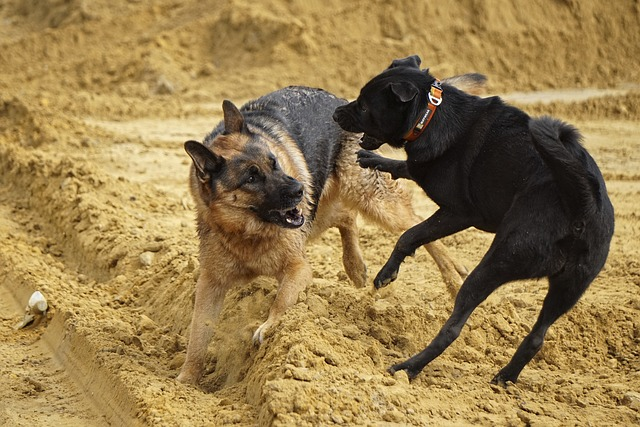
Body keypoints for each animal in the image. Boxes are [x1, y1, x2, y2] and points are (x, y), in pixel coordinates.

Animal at [178, 85, 482, 386]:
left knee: (414, 224)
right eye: (251, 178)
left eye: (274, 163)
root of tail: (340, 100)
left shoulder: (298, 267)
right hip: (319, 208)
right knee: (346, 217)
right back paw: (355, 267)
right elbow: (197, 333)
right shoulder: (211, 283)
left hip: (367, 199)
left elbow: (282, 299)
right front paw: (185, 380)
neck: (246, 231)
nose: (299, 189)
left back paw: (453, 277)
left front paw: (269, 326)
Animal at [332, 55, 612, 386]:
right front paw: (375, 160)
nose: (336, 113)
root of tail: (580, 202)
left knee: (453, 328)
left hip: (496, 263)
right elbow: (405, 168)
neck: (430, 113)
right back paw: (504, 378)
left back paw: (408, 368)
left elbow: (410, 235)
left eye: (364, 106)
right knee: (536, 338)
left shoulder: (459, 212)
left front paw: (387, 274)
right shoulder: (426, 173)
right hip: (568, 288)